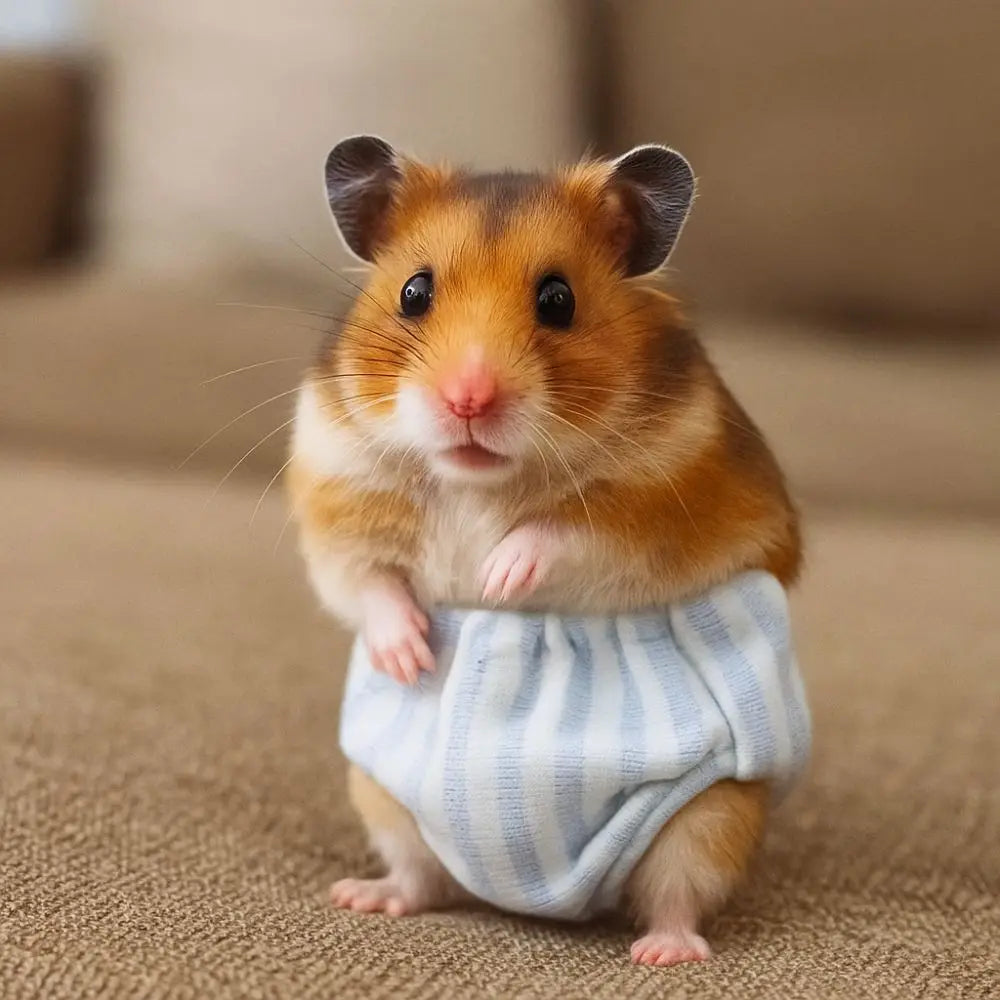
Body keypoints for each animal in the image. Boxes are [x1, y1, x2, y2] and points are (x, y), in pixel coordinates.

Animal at [288, 136, 805, 966]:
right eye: (414, 292)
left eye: (558, 300)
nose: (468, 399)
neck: (479, 480)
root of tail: (539, 897)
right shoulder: (334, 493)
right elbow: (368, 580)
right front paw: (411, 655)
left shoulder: (661, 509)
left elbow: (565, 533)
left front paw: (498, 576)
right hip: (381, 795)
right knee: (421, 876)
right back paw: (365, 897)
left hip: (710, 816)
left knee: (678, 888)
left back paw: (665, 952)